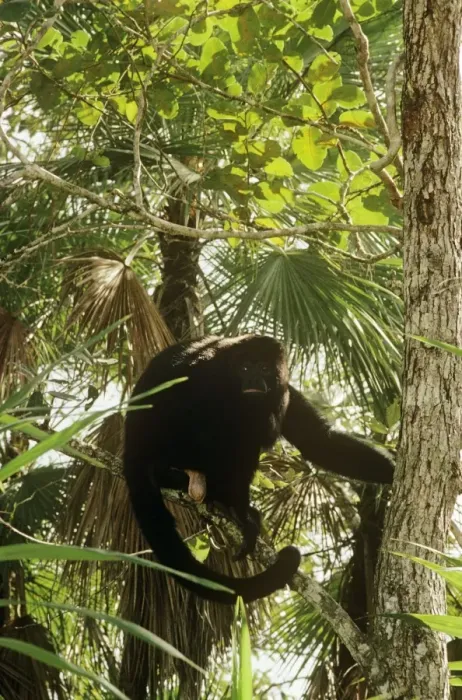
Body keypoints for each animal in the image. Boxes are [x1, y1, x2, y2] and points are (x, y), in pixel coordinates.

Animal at [123, 335, 394, 605]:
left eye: (264, 368)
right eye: (245, 368)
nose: (253, 380)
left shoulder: (285, 390)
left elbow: (318, 441)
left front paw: (392, 471)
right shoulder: (207, 379)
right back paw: (230, 505)